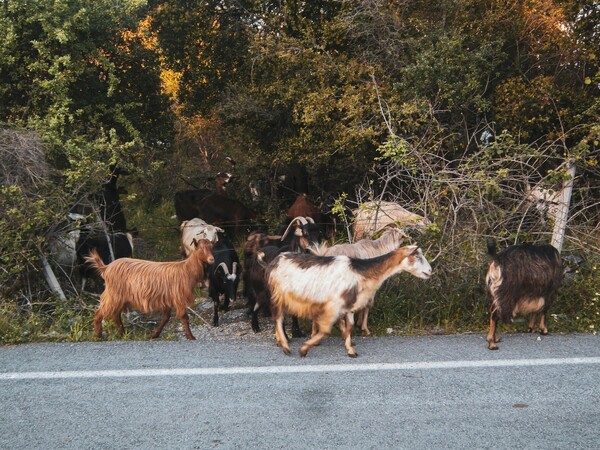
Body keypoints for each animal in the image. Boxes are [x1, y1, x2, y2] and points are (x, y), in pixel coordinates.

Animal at [85, 237, 214, 340]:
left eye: (211, 247)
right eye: (200, 249)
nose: (211, 259)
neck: (186, 269)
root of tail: (106, 268)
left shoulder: (167, 299)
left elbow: (166, 318)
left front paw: (154, 335)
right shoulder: (179, 298)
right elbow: (184, 317)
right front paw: (191, 336)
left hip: (118, 297)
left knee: (115, 315)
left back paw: (123, 334)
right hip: (114, 294)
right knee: (100, 313)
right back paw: (99, 336)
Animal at [264, 244, 432, 356]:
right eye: (417, 256)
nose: (430, 271)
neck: (362, 272)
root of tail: (275, 261)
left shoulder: (349, 305)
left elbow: (350, 325)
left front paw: (350, 348)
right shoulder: (334, 305)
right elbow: (326, 331)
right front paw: (304, 349)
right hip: (279, 294)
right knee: (278, 318)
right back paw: (285, 346)